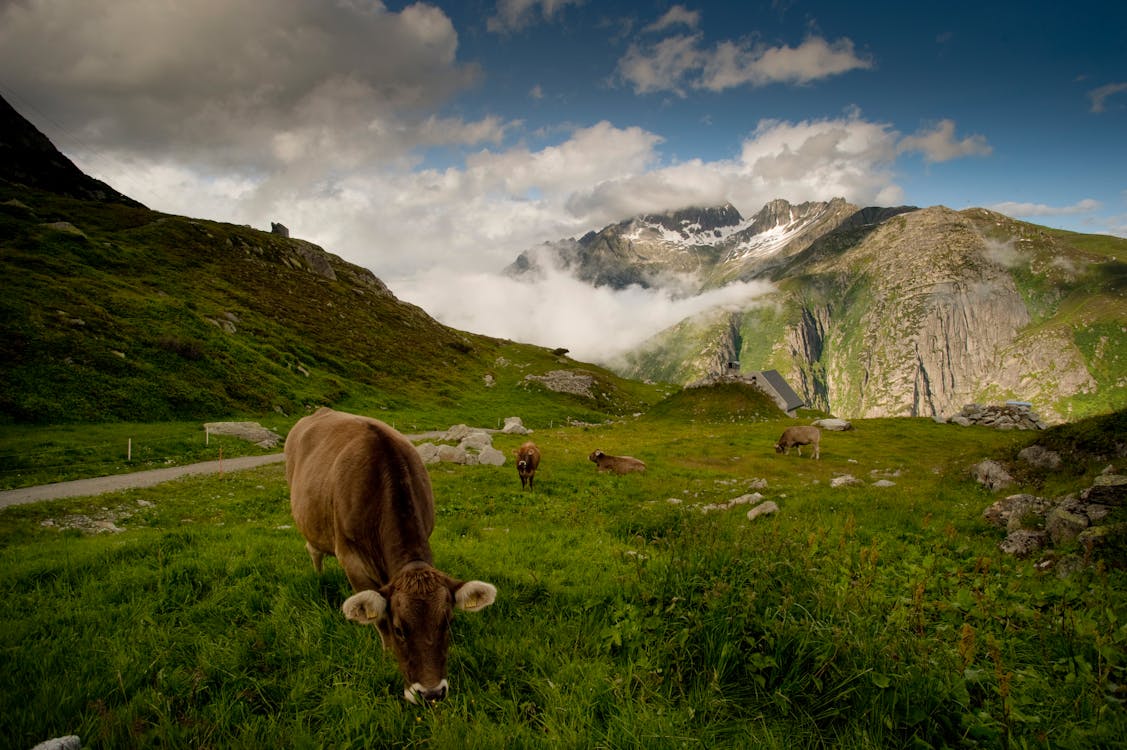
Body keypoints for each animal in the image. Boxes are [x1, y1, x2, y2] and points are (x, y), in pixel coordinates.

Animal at [284, 403, 495, 703]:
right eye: (399, 629)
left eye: (448, 623)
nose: (431, 693)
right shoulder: (351, 559)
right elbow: (378, 617)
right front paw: (386, 657)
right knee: (314, 551)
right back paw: (319, 578)